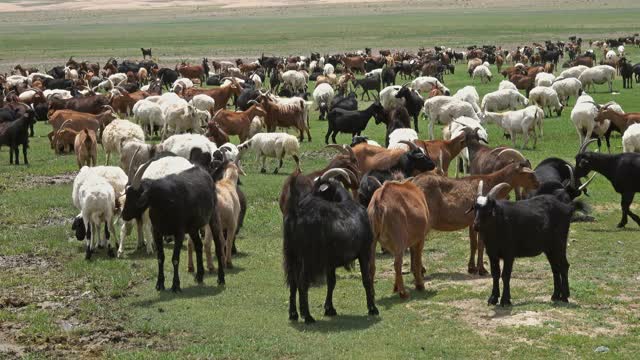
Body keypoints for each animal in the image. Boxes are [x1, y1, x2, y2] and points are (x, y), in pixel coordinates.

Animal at [282, 169, 378, 324]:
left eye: (316, 190)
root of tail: (296, 211)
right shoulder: (364, 252)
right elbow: (366, 279)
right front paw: (372, 308)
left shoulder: (330, 261)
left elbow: (331, 282)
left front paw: (329, 309)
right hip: (308, 258)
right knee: (302, 283)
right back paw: (307, 316)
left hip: (291, 255)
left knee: (293, 282)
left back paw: (293, 314)